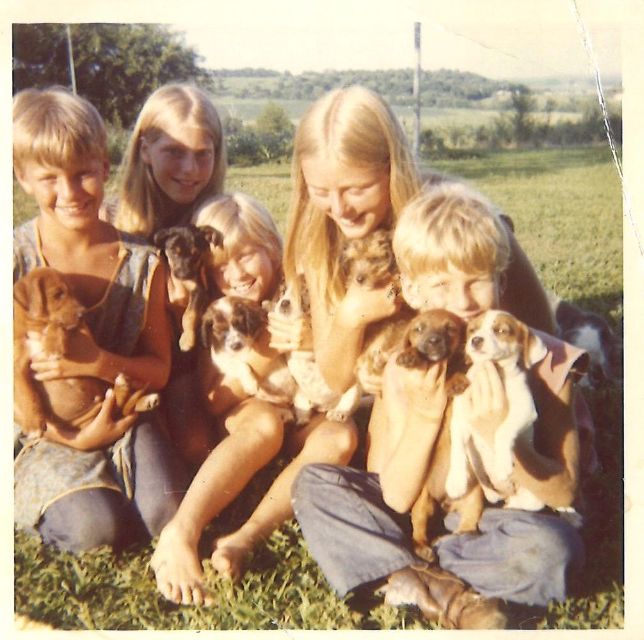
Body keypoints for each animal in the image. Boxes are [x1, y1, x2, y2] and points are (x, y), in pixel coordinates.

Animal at [270, 282, 362, 424]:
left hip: (353, 388)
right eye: (282, 291)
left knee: (347, 402)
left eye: (303, 293)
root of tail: (325, 406)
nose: (284, 303)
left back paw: (338, 413)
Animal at [446, 310, 552, 516]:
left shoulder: (525, 409)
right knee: (490, 493)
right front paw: (456, 481)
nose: (476, 340)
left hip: (534, 499)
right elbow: (457, 448)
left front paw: (503, 463)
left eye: (501, 330)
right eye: (472, 330)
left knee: (520, 504)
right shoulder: (460, 419)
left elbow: (503, 430)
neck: (497, 371)